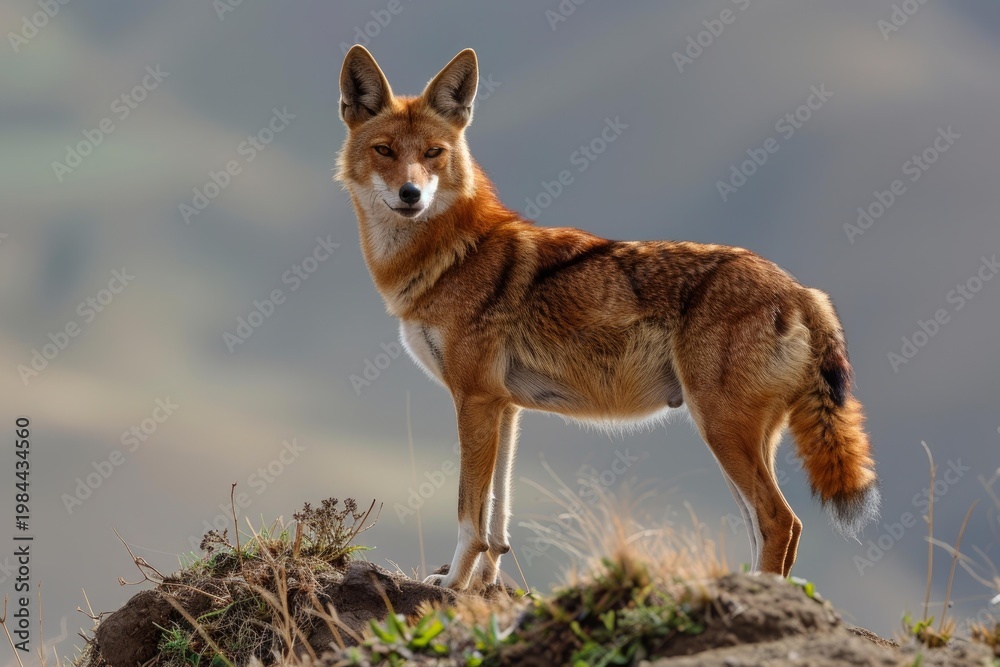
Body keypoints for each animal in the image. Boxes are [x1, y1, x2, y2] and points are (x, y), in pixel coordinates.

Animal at [335, 46, 879, 590]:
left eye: (433, 153)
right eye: (385, 150)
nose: (410, 194)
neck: (449, 255)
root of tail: (801, 290)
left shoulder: (474, 400)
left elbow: (470, 513)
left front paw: (453, 585)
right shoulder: (503, 407)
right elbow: (498, 516)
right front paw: (486, 583)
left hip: (722, 431)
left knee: (781, 522)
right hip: (733, 439)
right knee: (772, 528)